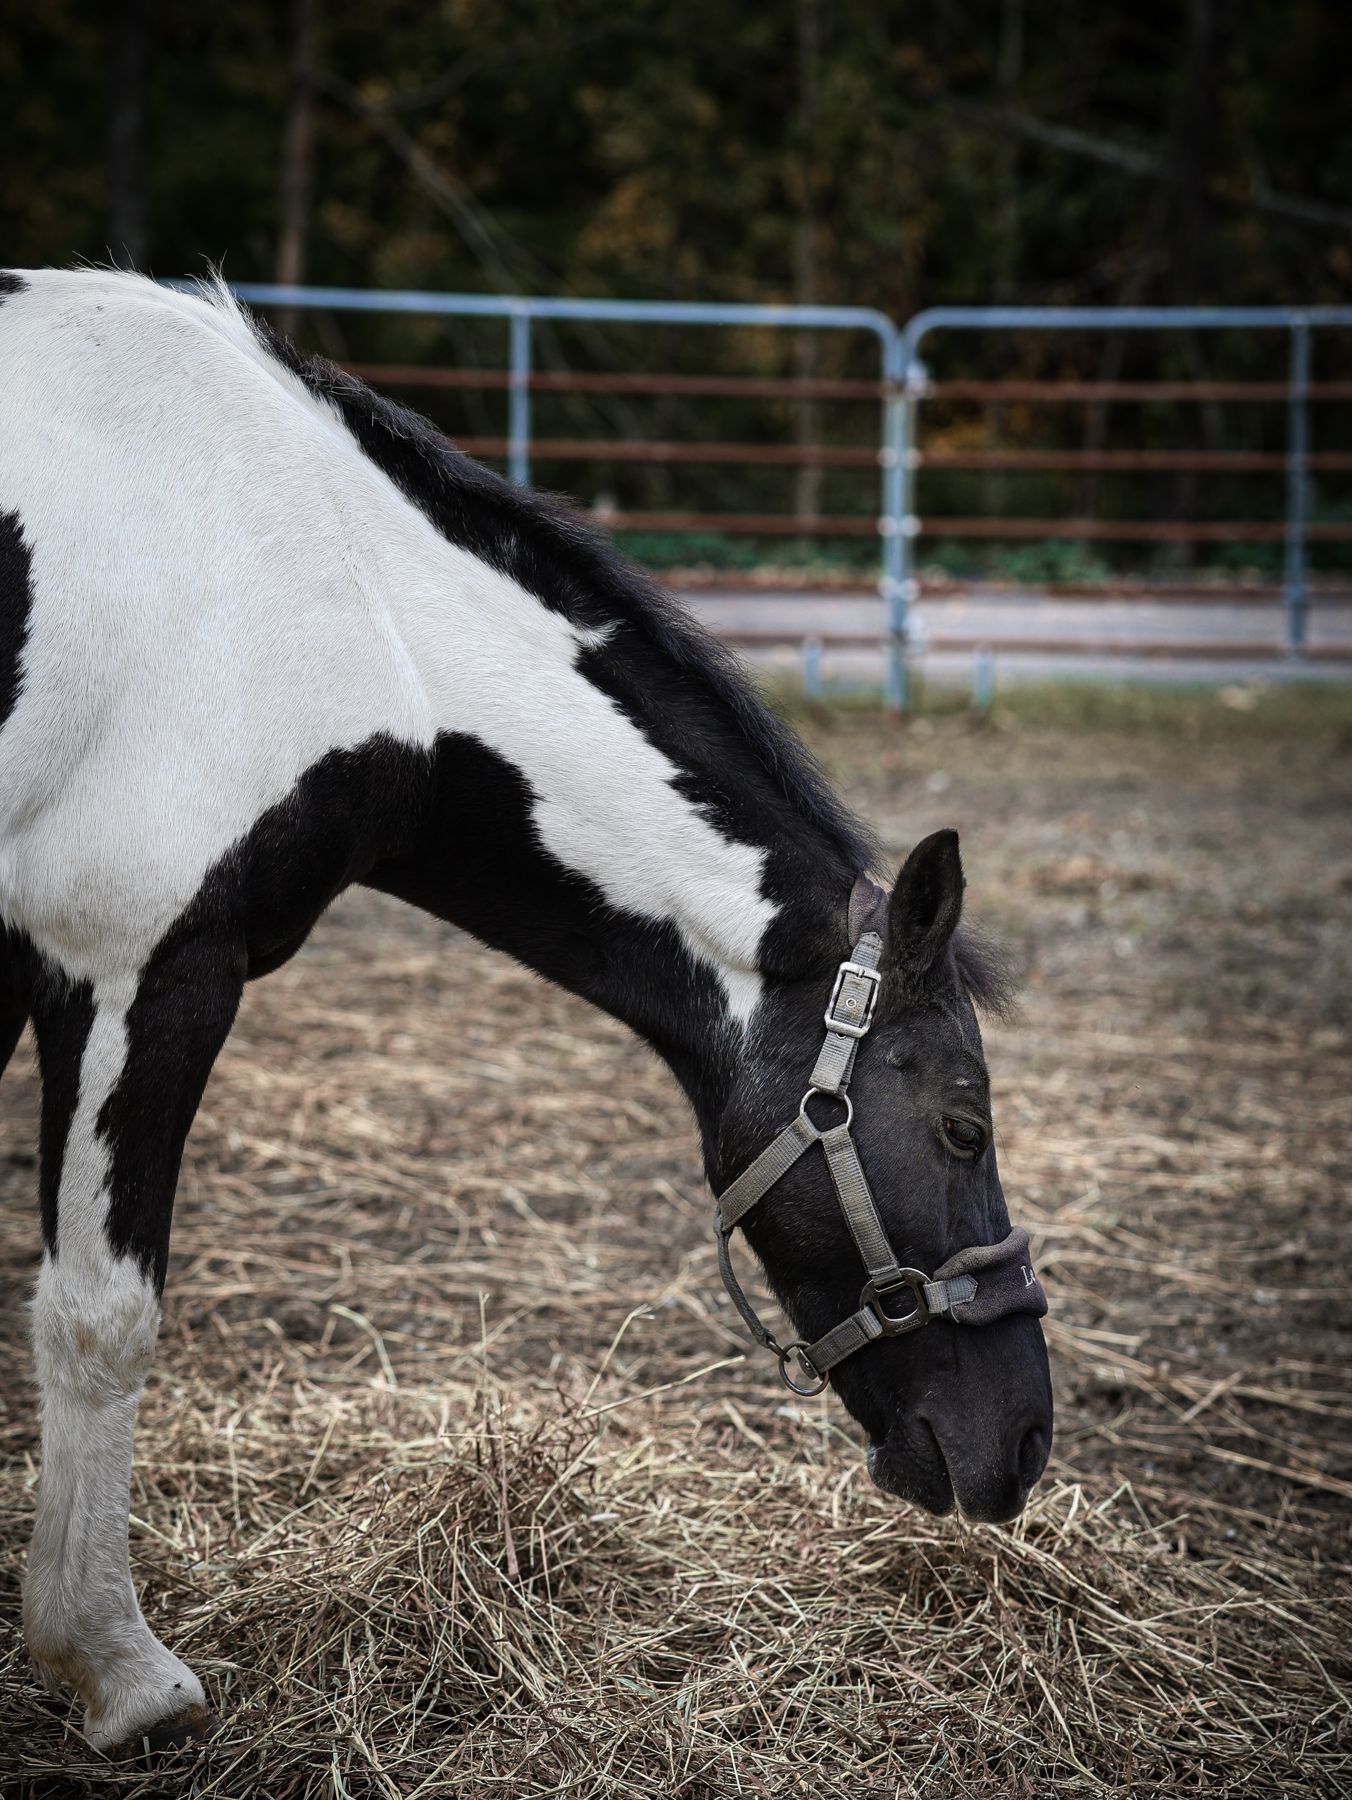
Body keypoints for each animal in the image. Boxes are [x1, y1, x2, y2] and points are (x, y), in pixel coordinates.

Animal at [0, 268, 1052, 1754]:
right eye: (963, 1127)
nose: (1024, 1442)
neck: (314, 591)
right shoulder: (137, 963)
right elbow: (103, 1314)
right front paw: (115, 1666)